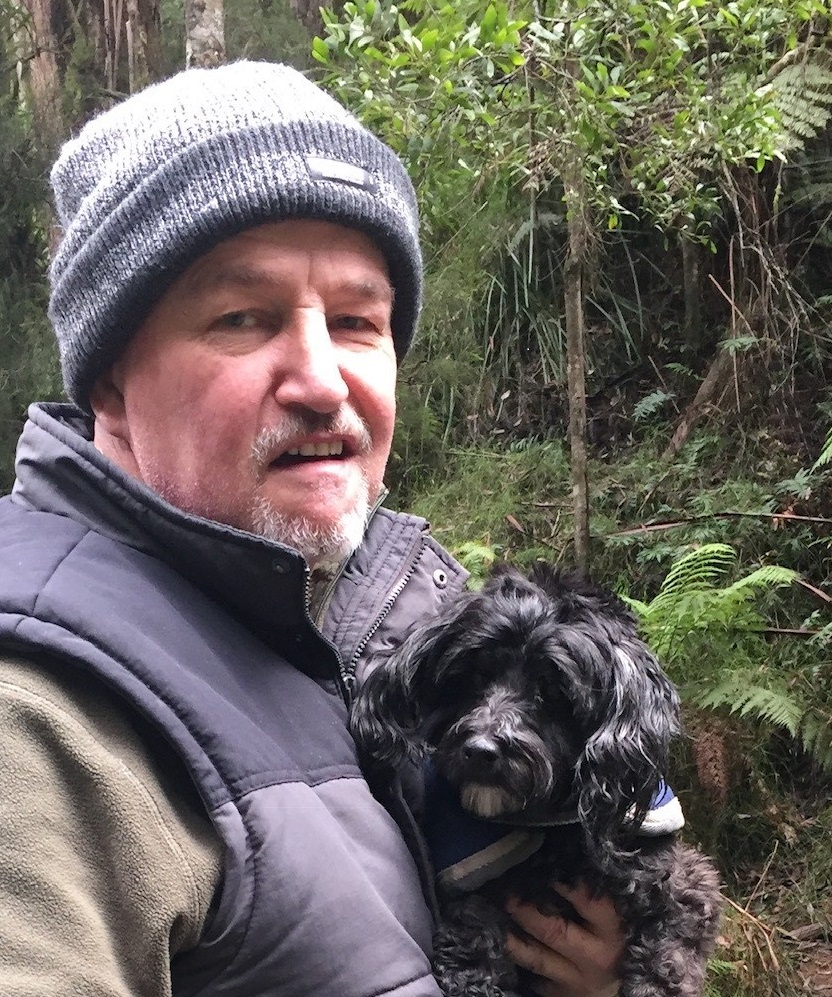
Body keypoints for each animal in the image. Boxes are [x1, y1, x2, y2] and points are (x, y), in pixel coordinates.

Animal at [351, 563, 722, 997]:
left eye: (552, 691)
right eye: (474, 679)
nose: (479, 751)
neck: (549, 830)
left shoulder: (683, 881)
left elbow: (670, 952)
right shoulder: (470, 888)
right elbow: (473, 936)